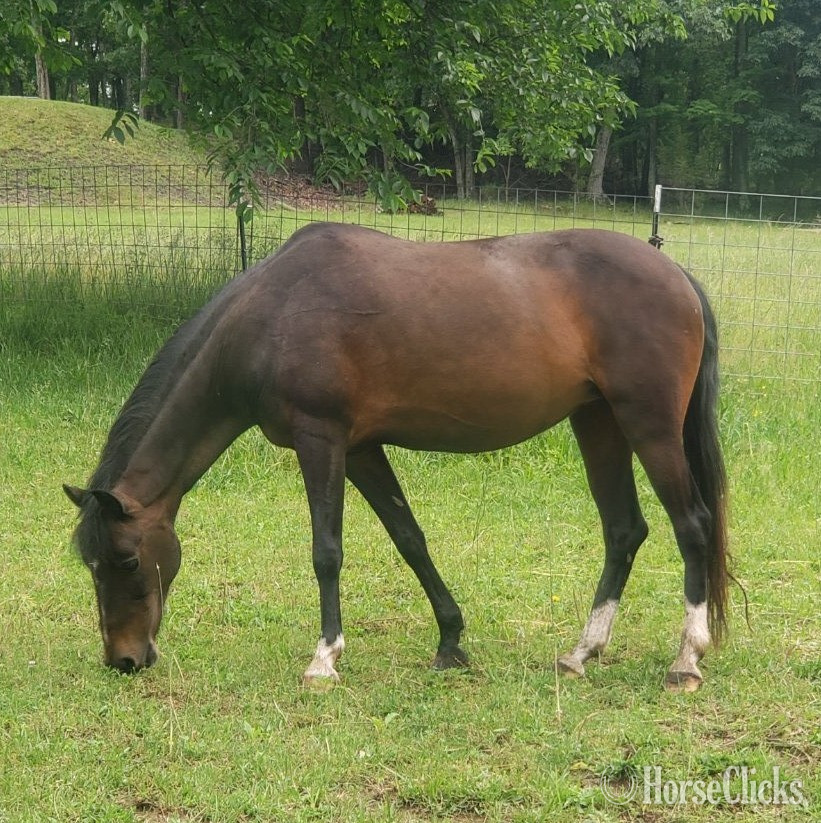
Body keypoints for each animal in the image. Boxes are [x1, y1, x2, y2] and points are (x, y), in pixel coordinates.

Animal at [64, 222, 728, 693]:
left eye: (126, 560)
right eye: (89, 565)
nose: (124, 660)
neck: (272, 314)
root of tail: (675, 273)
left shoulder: (321, 440)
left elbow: (327, 552)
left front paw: (325, 659)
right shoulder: (360, 449)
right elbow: (410, 539)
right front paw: (450, 642)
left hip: (648, 426)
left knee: (691, 526)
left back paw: (685, 659)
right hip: (599, 423)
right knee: (624, 530)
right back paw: (581, 653)